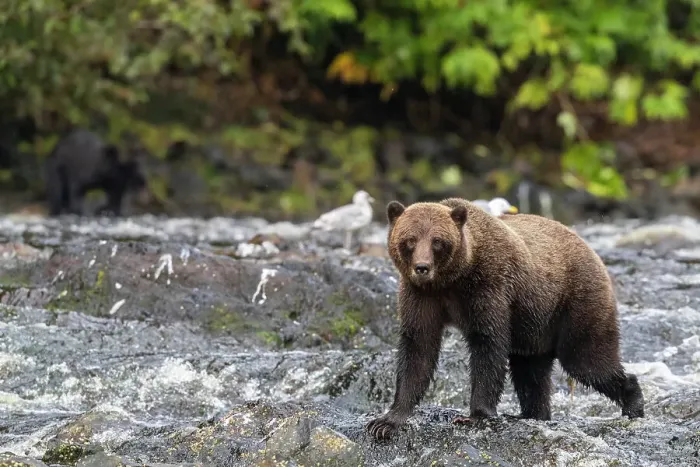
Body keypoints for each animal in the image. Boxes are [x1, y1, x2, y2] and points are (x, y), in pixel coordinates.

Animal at [366, 198, 644, 440]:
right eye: (410, 239)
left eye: (437, 241)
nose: (422, 267)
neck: (450, 281)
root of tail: (592, 250)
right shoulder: (420, 296)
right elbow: (418, 348)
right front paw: (386, 421)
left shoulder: (488, 287)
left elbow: (488, 344)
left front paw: (475, 415)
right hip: (536, 329)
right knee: (531, 373)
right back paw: (533, 414)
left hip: (576, 303)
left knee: (587, 360)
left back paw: (633, 403)